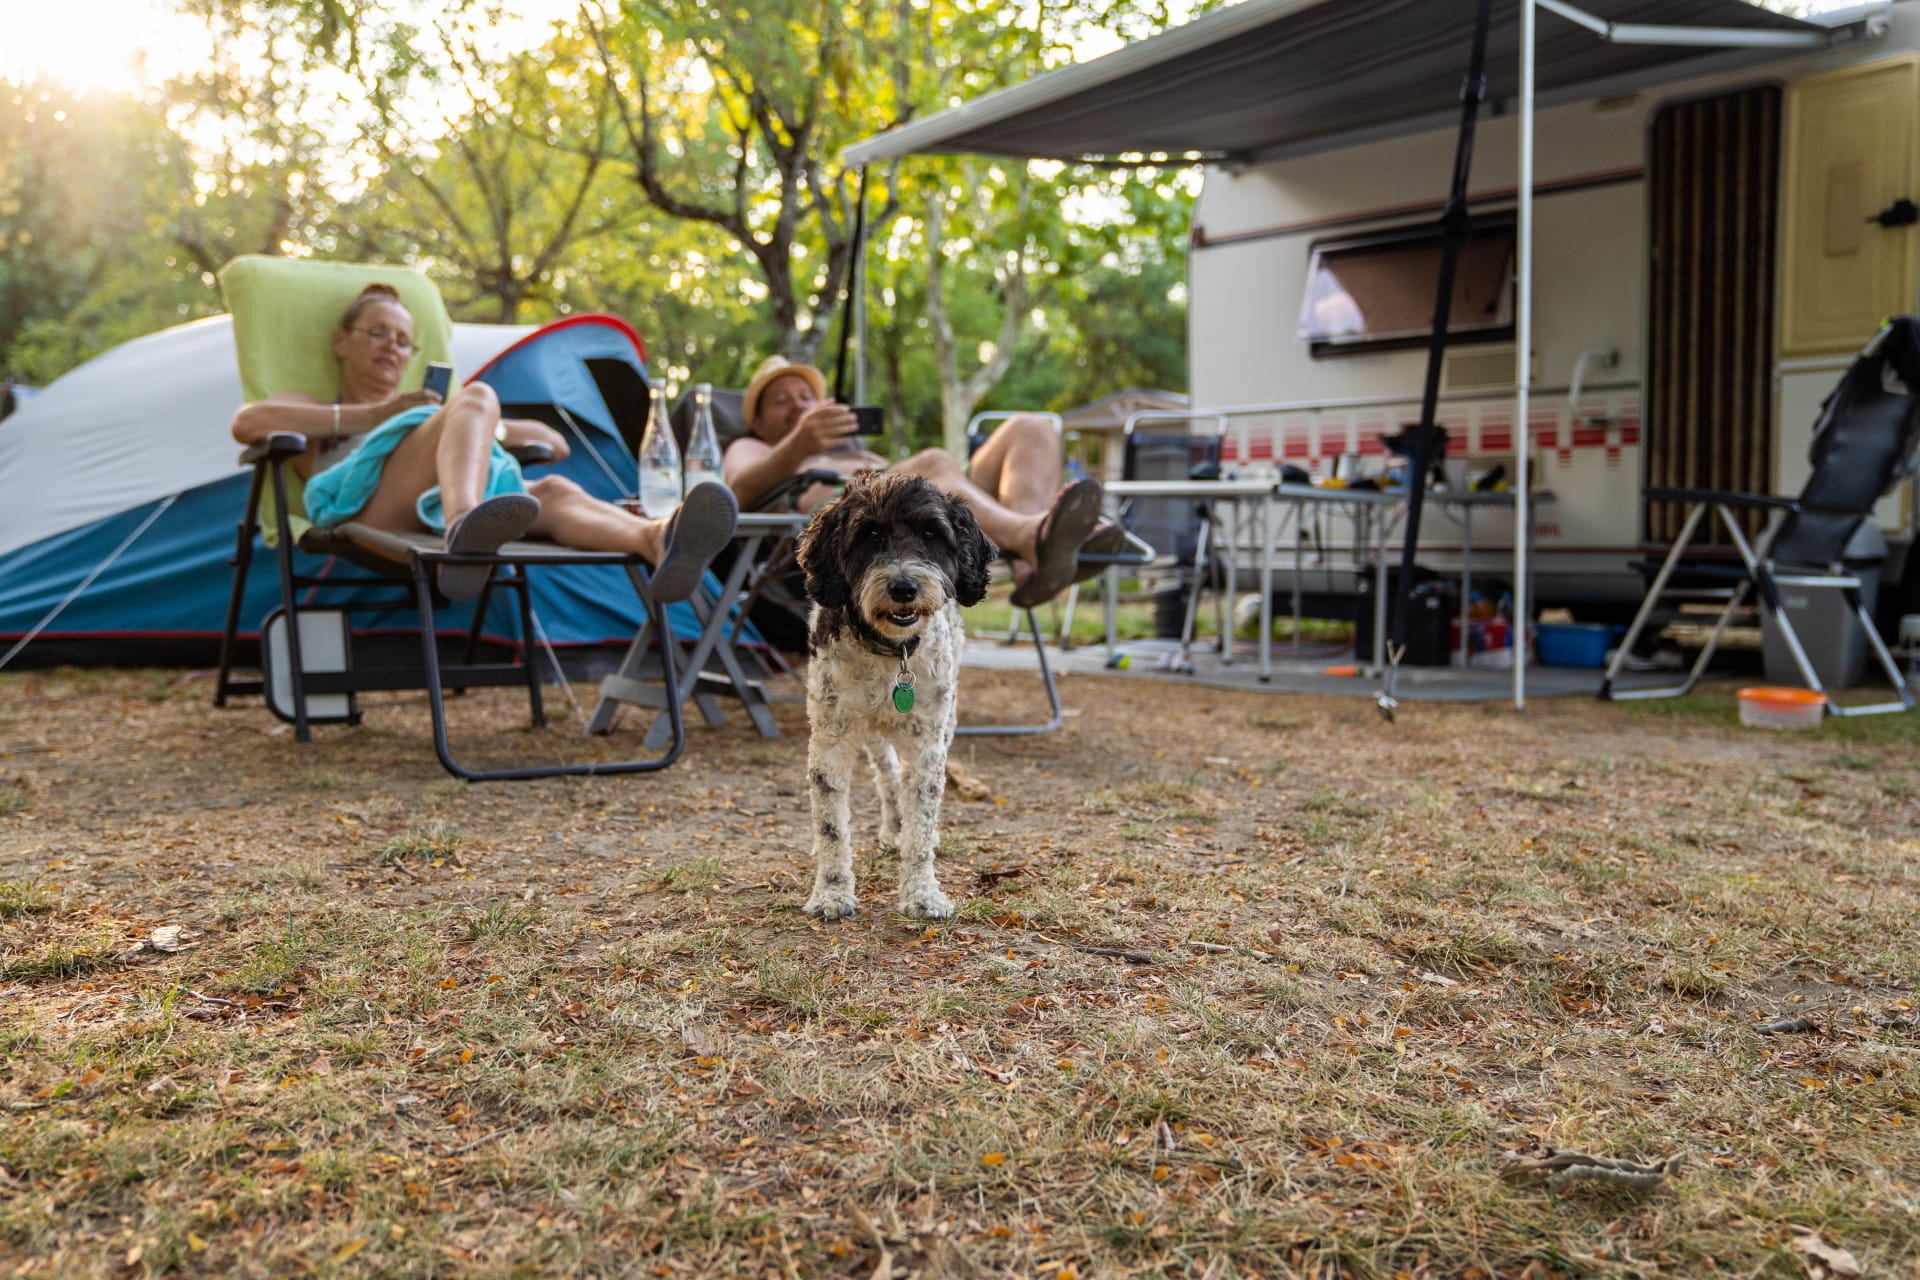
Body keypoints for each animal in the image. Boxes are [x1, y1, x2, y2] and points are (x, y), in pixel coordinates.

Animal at [791, 474, 990, 921]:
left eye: (932, 534)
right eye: (870, 535)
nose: (904, 587)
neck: (890, 653)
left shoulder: (928, 747)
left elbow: (921, 826)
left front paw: (922, 893)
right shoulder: (830, 742)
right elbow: (831, 826)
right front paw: (832, 892)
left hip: (945, 722)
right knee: (886, 775)